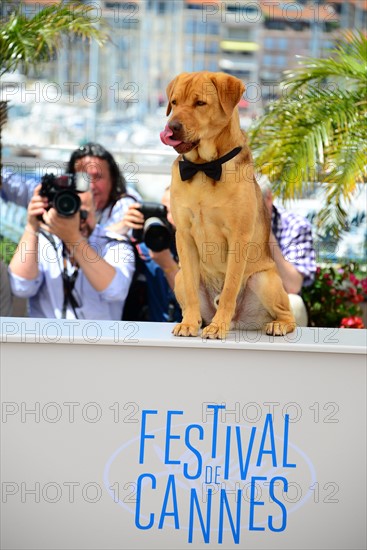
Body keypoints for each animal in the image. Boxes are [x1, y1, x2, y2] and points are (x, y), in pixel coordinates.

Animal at [161, 72, 296, 340]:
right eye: (174, 102)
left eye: (200, 103)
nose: (172, 127)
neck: (204, 168)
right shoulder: (184, 236)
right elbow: (192, 291)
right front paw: (188, 324)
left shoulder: (238, 237)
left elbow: (230, 289)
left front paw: (217, 327)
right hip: (179, 277)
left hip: (264, 280)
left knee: (289, 315)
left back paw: (276, 325)